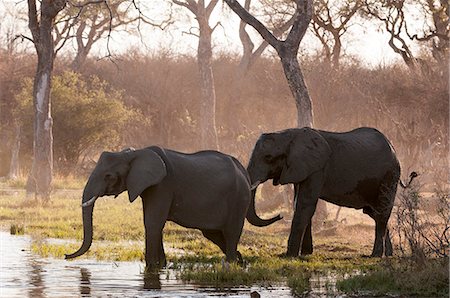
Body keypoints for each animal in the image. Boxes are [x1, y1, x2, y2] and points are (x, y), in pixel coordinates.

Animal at [64, 146, 280, 268]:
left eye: (108, 176)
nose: (66, 256)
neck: (135, 153)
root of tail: (244, 172)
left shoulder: (163, 185)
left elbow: (152, 223)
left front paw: (152, 267)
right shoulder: (149, 187)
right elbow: (154, 223)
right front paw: (162, 266)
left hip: (238, 198)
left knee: (232, 232)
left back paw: (231, 264)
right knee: (214, 234)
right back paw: (240, 262)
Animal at [248, 127, 416, 258]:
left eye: (268, 157)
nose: (280, 215)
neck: (288, 135)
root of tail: (393, 149)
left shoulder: (317, 169)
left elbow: (305, 205)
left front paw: (290, 256)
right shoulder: (301, 169)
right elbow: (300, 205)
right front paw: (306, 254)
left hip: (389, 176)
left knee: (382, 212)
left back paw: (375, 255)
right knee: (374, 213)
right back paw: (388, 255)